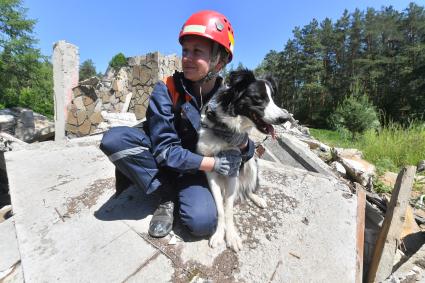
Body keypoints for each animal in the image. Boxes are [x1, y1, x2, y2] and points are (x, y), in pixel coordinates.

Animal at [196, 69, 290, 253]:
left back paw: (258, 199)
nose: (285, 118)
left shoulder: (234, 167)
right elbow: (221, 207)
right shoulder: (211, 169)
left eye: (273, 98)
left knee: (249, 188)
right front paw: (219, 234)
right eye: (258, 98)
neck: (225, 129)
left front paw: (231, 236)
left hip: (252, 163)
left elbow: (228, 209)